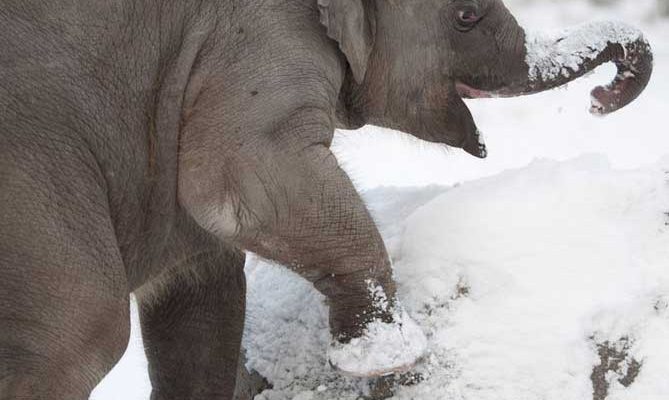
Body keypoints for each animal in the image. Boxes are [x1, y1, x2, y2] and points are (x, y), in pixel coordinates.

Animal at [0, 0, 648, 398]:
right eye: (465, 16)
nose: (599, 99)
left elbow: (206, 303)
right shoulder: (257, 46)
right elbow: (240, 176)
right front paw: (389, 357)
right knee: (83, 333)